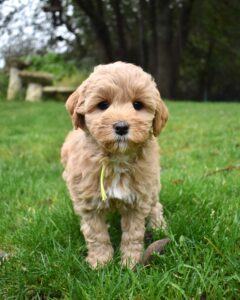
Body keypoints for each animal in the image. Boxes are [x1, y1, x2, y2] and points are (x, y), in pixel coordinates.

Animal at [61, 62, 168, 268]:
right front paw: (101, 262)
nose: (121, 127)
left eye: (137, 105)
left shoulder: (138, 199)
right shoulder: (88, 203)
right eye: (103, 105)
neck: (117, 159)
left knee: (155, 205)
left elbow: (133, 234)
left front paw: (130, 263)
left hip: (151, 185)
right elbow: (96, 234)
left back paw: (159, 227)